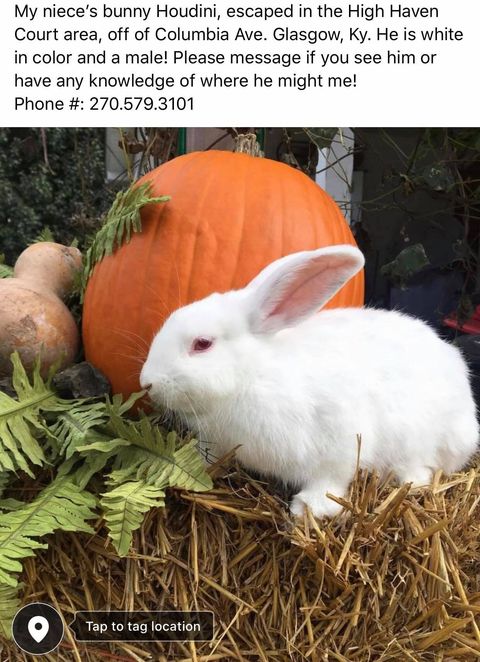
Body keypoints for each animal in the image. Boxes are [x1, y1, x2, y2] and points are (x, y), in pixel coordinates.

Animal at [140, 245, 479, 518]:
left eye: (202, 344)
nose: (147, 382)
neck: (253, 375)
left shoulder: (339, 441)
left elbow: (330, 479)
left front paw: (309, 509)